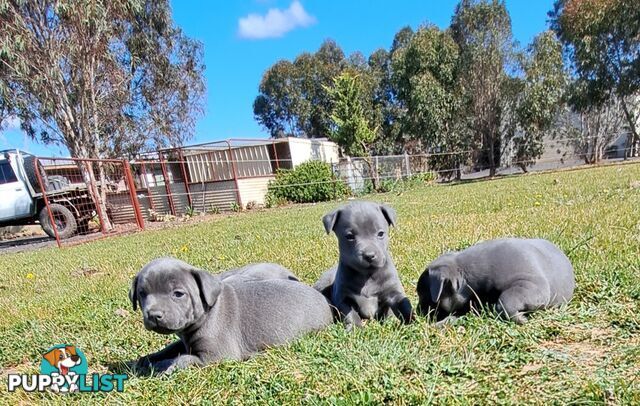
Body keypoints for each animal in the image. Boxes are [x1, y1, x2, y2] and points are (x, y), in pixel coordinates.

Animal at [128, 256, 332, 374]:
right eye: (142, 294)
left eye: (178, 294)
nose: (154, 315)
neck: (209, 311)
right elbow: (170, 349)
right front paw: (147, 359)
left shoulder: (216, 356)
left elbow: (183, 358)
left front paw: (161, 367)